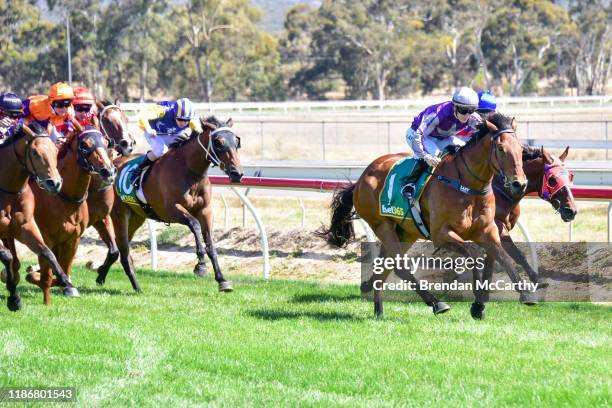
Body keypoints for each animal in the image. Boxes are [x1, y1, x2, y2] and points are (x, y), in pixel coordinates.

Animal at [0, 122, 76, 310]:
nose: (54, 183)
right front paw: (14, 298)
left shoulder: (25, 227)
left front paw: (64, 280)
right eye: (34, 152)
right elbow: (7, 256)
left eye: (55, 150)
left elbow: (46, 251)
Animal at [8, 126, 117, 302]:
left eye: (106, 143)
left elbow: (63, 269)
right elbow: (48, 270)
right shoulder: (45, 237)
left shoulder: (73, 238)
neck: (65, 197)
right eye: (84, 145)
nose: (108, 171)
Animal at [94, 116, 243, 292]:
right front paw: (200, 265)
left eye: (236, 141)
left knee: (120, 246)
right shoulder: (170, 210)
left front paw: (222, 280)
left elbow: (211, 245)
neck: (189, 170)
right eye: (218, 142)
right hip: (119, 215)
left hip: (137, 217)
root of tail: (113, 163)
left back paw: (101, 273)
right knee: (123, 249)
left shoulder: (205, 211)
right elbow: (194, 224)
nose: (237, 173)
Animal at [320, 114, 532, 318]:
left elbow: (506, 258)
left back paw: (378, 309)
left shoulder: (487, 231)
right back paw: (436, 303)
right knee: (400, 267)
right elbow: (473, 257)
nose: (519, 184)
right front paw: (477, 304)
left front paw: (525, 294)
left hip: (406, 232)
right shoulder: (441, 234)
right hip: (382, 225)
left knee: (387, 265)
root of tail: (361, 178)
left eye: (521, 149)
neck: (467, 184)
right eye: (501, 148)